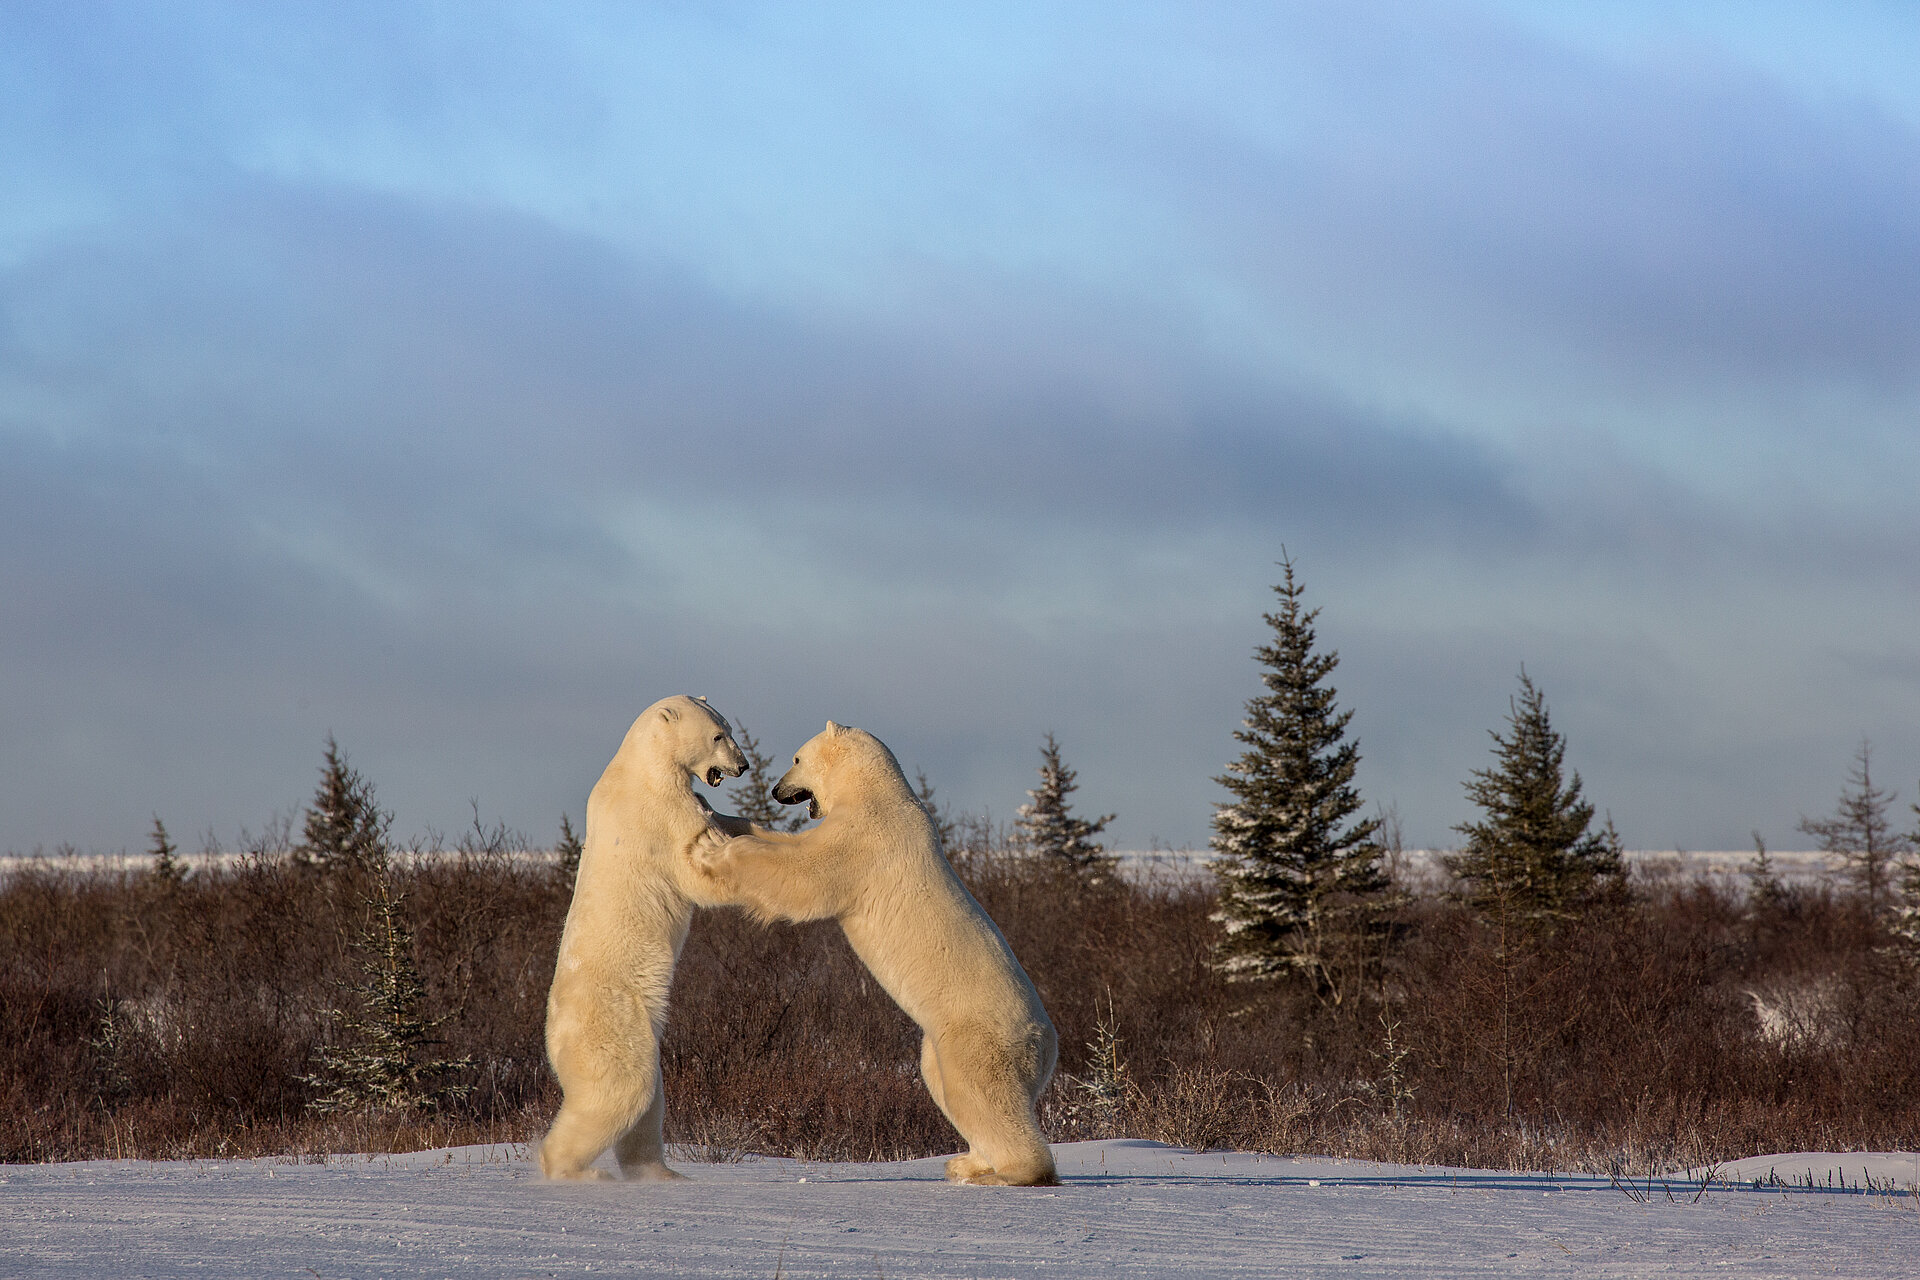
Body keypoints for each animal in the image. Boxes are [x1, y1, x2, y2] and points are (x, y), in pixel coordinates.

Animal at [538, 694, 751, 1181]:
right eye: (718, 734)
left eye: (731, 728)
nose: (743, 764)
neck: (640, 768)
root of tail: (554, 1037)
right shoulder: (659, 813)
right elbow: (697, 865)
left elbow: (719, 819)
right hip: (615, 1021)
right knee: (621, 1092)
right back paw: (578, 1171)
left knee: (650, 1102)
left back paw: (664, 1173)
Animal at [688, 721, 1059, 1186]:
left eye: (796, 758)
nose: (776, 790)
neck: (879, 793)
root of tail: (1047, 1047)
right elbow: (778, 840)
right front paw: (712, 812)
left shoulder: (864, 839)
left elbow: (802, 871)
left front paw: (712, 850)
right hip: (942, 1043)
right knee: (944, 1085)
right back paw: (965, 1162)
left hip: (979, 1039)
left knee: (981, 1096)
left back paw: (1007, 1172)